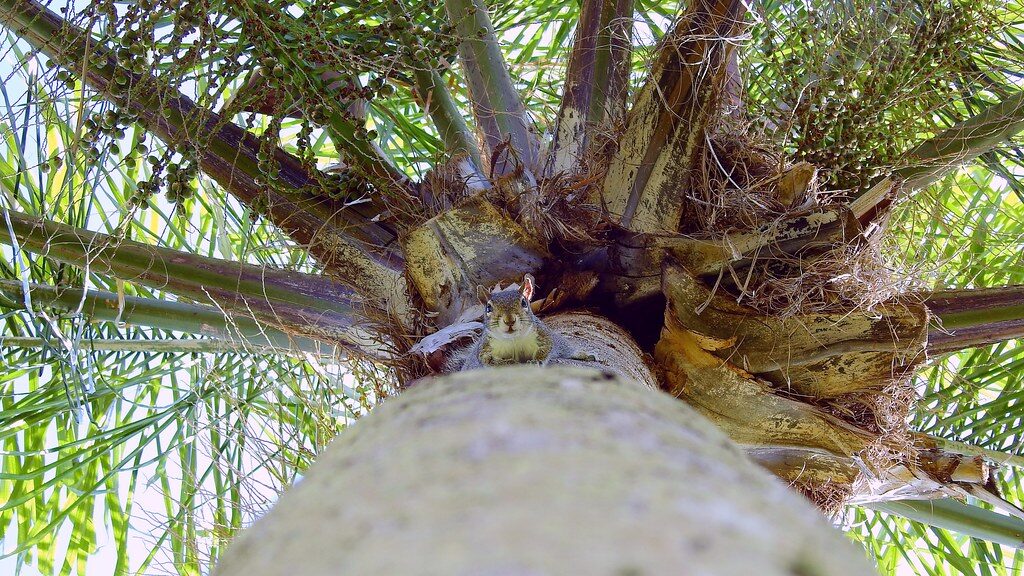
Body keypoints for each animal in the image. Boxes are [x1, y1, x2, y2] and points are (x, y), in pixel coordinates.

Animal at [460, 274, 595, 370]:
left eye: (524, 302)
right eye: (488, 308)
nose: (509, 320)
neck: (513, 339)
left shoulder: (543, 334)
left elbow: (546, 348)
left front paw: (536, 361)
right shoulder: (485, 349)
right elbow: (490, 361)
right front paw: (511, 363)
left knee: (565, 347)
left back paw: (583, 354)